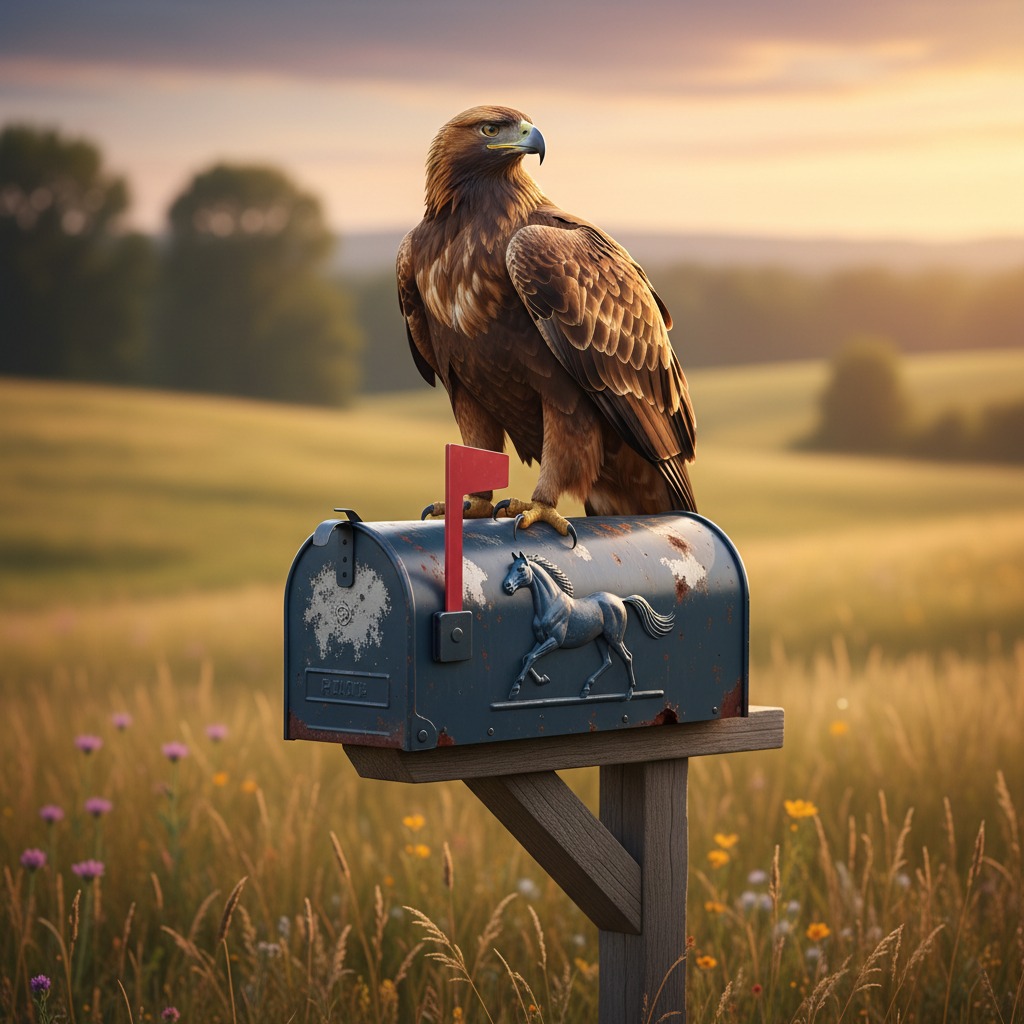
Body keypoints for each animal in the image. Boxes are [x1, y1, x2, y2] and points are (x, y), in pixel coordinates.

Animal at [501, 552, 676, 701]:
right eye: (510, 568)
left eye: (520, 568)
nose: (507, 586)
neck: (550, 604)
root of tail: (620, 599)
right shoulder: (540, 639)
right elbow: (526, 657)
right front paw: (542, 680)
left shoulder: (555, 641)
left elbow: (532, 657)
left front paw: (515, 690)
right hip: (600, 639)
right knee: (608, 661)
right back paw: (586, 689)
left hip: (614, 638)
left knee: (627, 657)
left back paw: (629, 692)